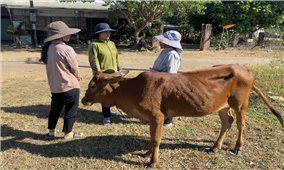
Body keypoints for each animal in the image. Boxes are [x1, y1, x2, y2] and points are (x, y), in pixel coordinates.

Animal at [81, 64, 282, 169]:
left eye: (93, 85)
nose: (83, 99)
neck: (133, 90)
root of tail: (246, 70)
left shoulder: (157, 117)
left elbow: (156, 139)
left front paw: (152, 161)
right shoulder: (152, 119)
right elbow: (151, 138)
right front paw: (147, 153)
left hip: (240, 105)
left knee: (241, 124)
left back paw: (238, 147)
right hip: (222, 107)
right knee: (228, 122)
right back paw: (215, 147)